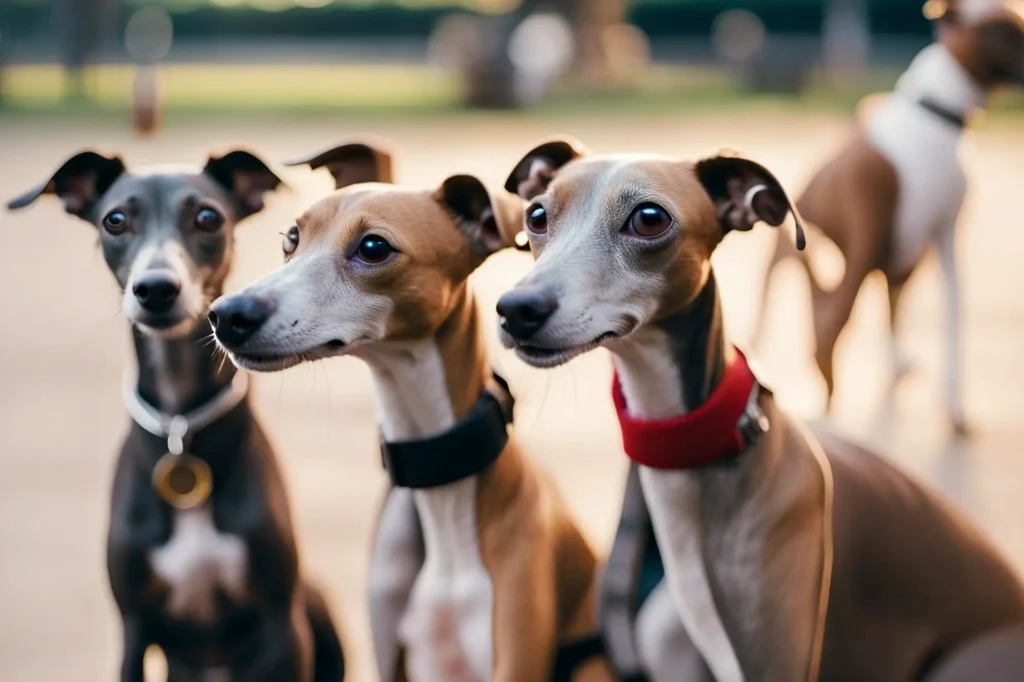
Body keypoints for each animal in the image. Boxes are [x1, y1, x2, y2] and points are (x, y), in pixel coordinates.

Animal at [7, 150, 348, 679]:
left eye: (208, 217)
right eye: (115, 220)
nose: (156, 289)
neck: (180, 424)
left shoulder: (280, 622)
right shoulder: (132, 626)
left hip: (314, 606)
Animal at [753, 0, 1024, 432]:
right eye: (1004, 31)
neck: (936, 111)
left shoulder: (923, 248)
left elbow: (910, 309)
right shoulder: (932, 236)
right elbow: (946, 317)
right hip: (859, 258)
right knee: (826, 333)